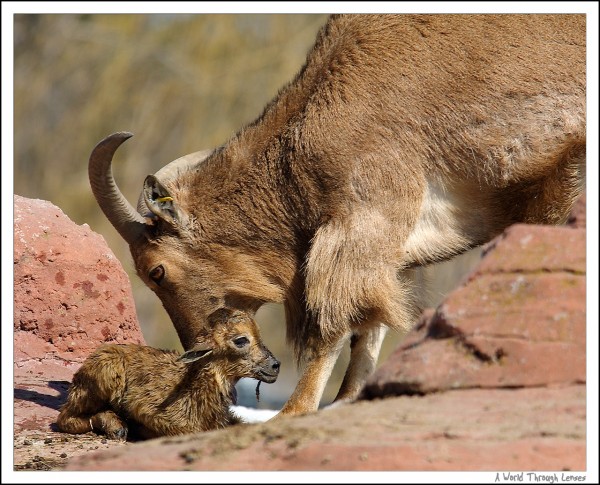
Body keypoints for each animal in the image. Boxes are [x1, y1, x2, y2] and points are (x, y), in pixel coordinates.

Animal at [89, 14, 584, 416]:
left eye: (156, 271)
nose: (197, 352)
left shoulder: (362, 220)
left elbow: (335, 322)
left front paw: (296, 408)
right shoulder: (393, 253)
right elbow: (370, 329)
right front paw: (349, 398)